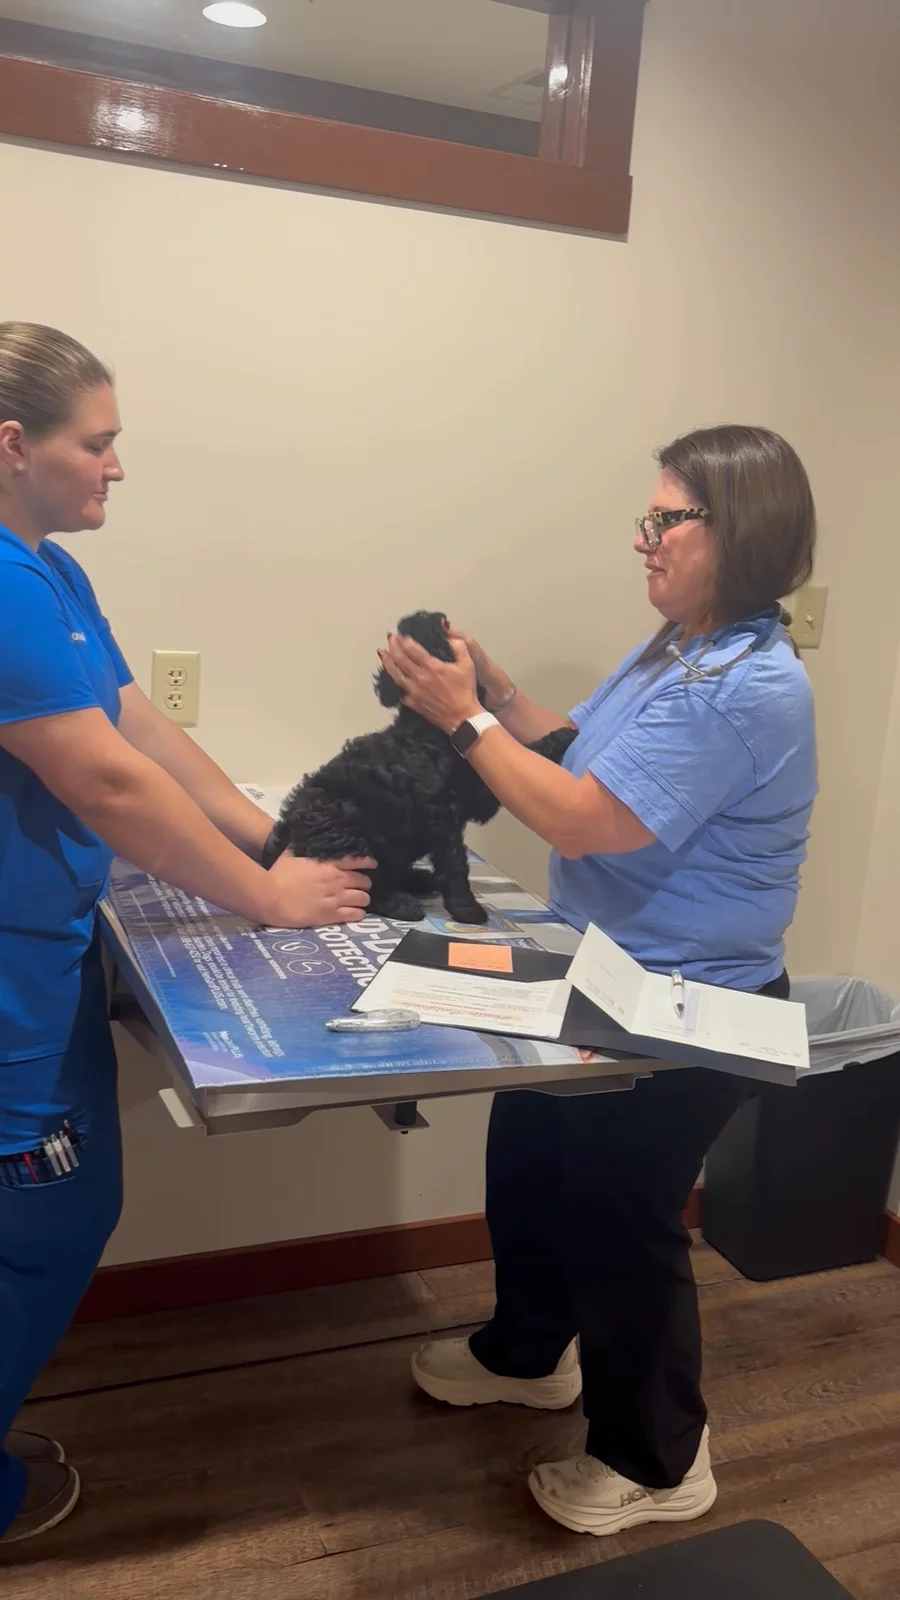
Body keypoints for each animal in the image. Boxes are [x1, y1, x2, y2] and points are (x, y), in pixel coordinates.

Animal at [262, 610, 578, 923]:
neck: (428, 731)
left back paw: (419, 880)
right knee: (366, 884)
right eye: (435, 630)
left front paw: (563, 735)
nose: (431, 613)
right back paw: (401, 903)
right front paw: (466, 908)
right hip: (348, 830)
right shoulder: (442, 816)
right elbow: (455, 863)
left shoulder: (478, 793)